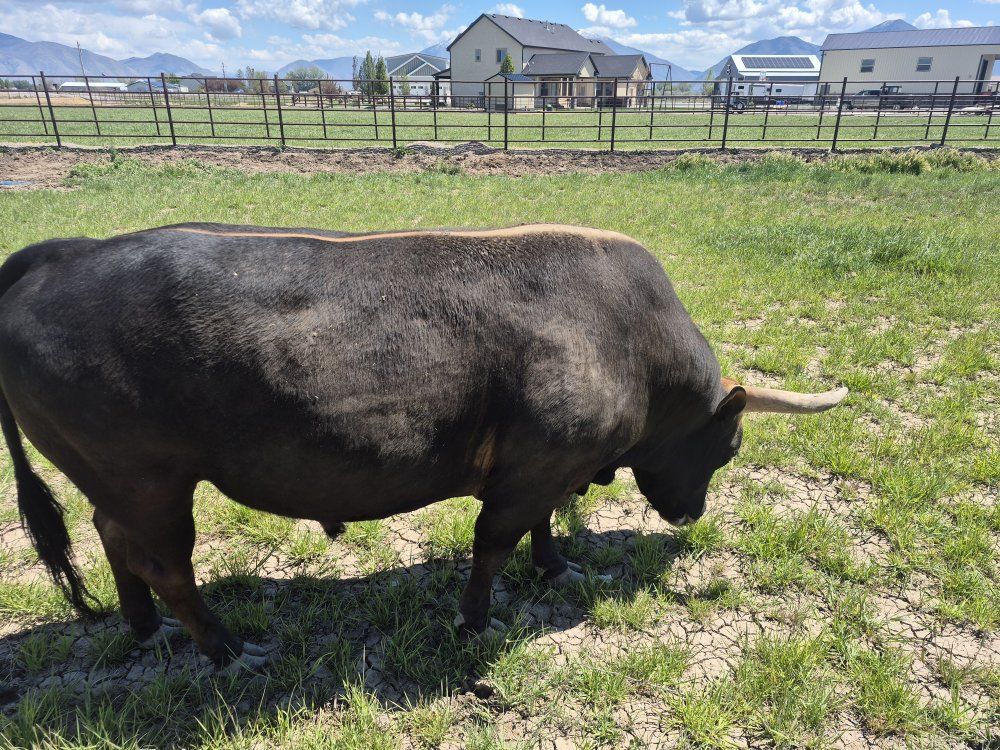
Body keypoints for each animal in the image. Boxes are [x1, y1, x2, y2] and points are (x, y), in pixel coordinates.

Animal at [0, 223, 847, 670]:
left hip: (117, 482)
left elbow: (541, 527)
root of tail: (65, 252)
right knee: (168, 566)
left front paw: (559, 565)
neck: (631, 337)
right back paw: (227, 648)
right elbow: (494, 543)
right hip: (149, 480)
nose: (689, 518)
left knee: (114, 541)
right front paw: (478, 620)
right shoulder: (534, 466)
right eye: (728, 449)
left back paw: (143, 630)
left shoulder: (548, 467)